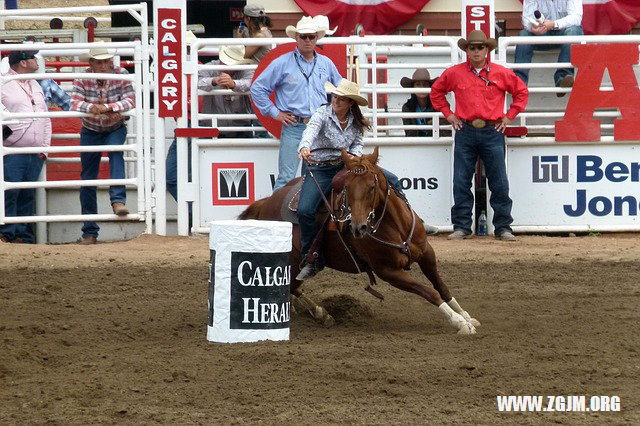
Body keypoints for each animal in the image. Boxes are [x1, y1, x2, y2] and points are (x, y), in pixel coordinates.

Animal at [238, 148, 478, 334]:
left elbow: (441, 286)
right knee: (289, 286)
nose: (357, 227)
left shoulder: (427, 253)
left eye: (372, 187)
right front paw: (459, 322)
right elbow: (429, 291)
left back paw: (319, 313)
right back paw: (316, 312)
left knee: (293, 287)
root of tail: (267, 202)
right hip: (290, 260)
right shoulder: (388, 271)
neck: (396, 226)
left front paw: (466, 315)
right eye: (347, 188)